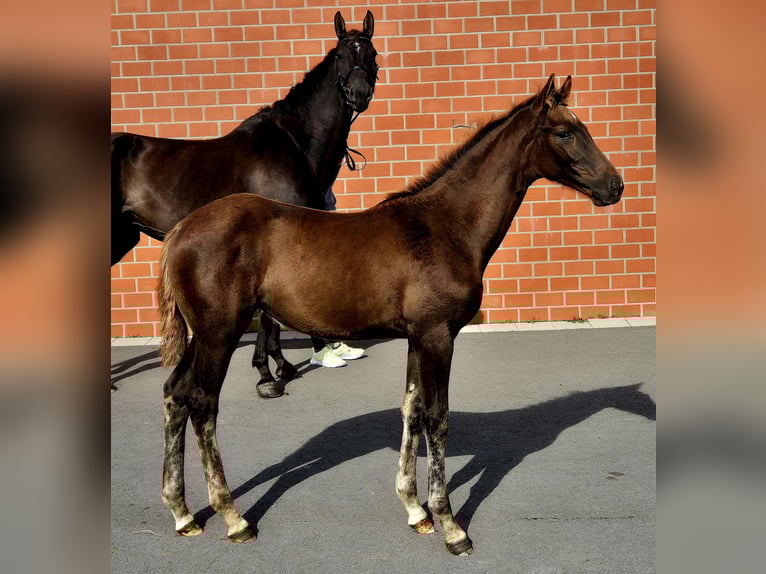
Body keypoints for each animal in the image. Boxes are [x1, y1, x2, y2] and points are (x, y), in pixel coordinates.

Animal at [111, 10, 378, 398]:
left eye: (372, 55)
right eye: (341, 56)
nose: (358, 94)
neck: (293, 144)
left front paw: (281, 367)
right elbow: (268, 317)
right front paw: (267, 377)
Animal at [156, 74, 624, 555]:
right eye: (565, 132)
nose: (615, 186)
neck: (448, 227)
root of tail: (181, 230)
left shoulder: (418, 337)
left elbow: (411, 410)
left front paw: (416, 510)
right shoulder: (438, 336)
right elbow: (437, 418)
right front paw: (450, 525)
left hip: (202, 336)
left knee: (176, 393)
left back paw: (182, 513)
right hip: (219, 335)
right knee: (202, 403)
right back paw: (233, 518)